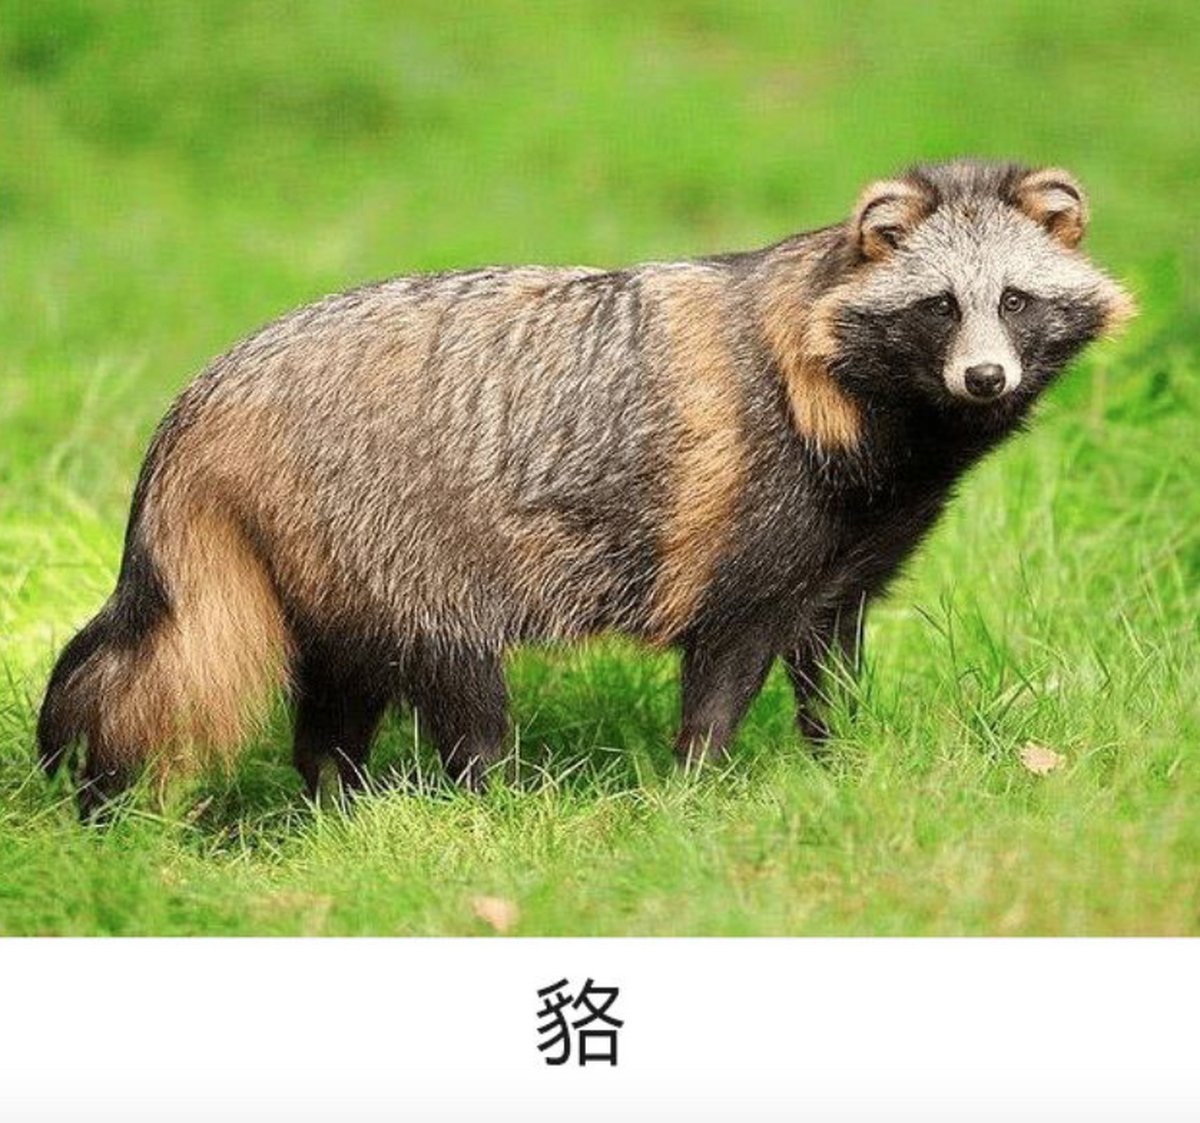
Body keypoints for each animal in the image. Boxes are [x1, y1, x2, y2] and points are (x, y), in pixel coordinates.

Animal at [38, 159, 1134, 816]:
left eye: (1016, 300)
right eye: (940, 305)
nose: (984, 378)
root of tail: (206, 401)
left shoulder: (855, 540)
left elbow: (832, 654)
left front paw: (843, 759)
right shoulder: (756, 511)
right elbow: (725, 666)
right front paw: (699, 789)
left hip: (329, 557)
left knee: (339, 695)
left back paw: (335, 801)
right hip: (393, 526)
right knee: (456, 683)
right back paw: (489, 800)